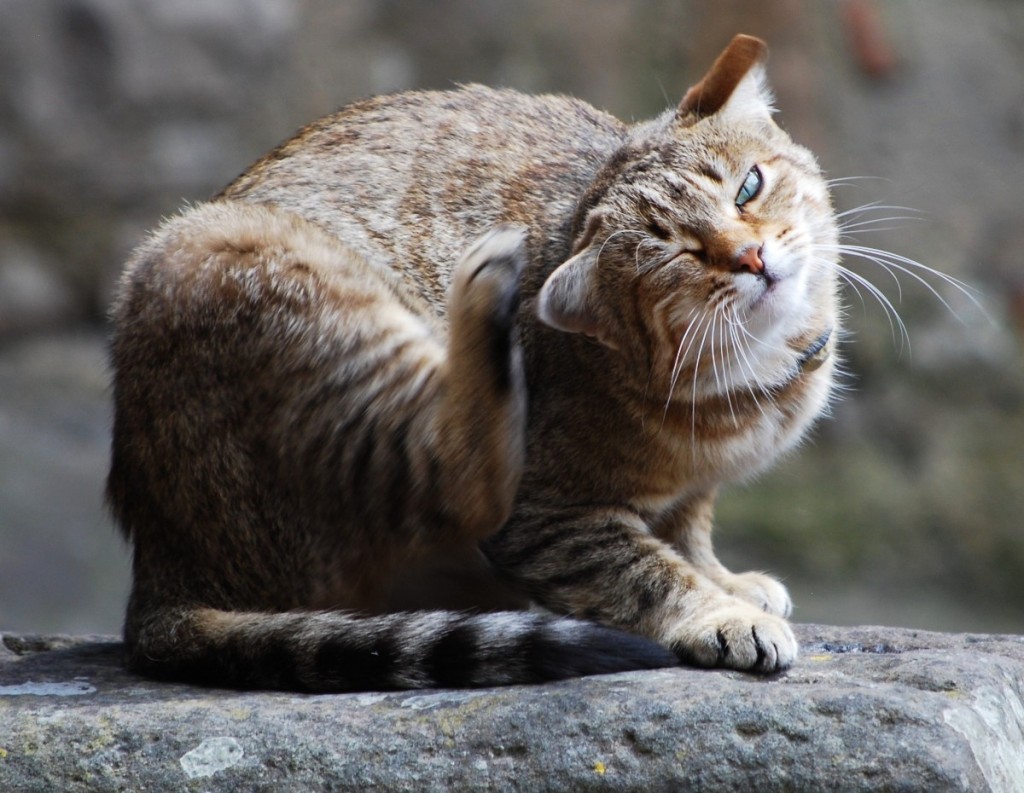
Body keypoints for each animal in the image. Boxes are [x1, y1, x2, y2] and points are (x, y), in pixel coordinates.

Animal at [105, 34, 839, 692]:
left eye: (749, 187)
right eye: (678, 256)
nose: (751, 257)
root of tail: (161, 572)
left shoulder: (689, 494)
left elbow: (688, 533)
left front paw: (727, 581)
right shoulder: (546, 518)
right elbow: (643, 573)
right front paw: (719, 613)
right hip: (281, 280)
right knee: (461, 480)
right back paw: (484, 298)